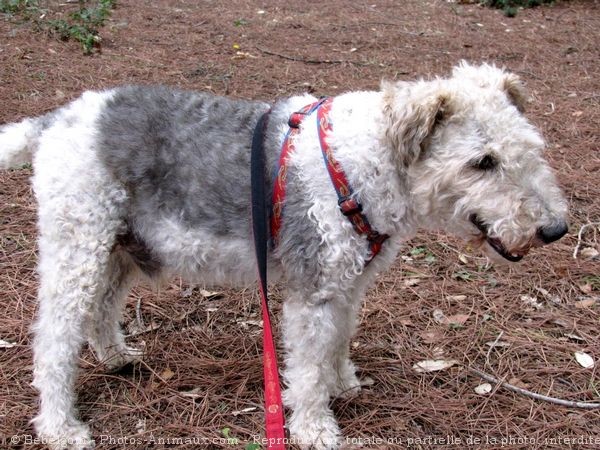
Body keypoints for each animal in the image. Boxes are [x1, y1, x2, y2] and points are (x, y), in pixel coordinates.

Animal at [0, 61, 568, 448]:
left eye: (529, 147)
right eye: (482, 161)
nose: (555, 229)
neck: (361, 164)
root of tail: (53, 120)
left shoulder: (347, 283)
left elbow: (338, 343)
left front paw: (344, 384)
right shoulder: (313, 291)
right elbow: (310, 367)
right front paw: (316, 428)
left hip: (118, 250)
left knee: (99, 312)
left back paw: (117, 357)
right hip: (78, 247)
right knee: (52, 341)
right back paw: (61, 427)